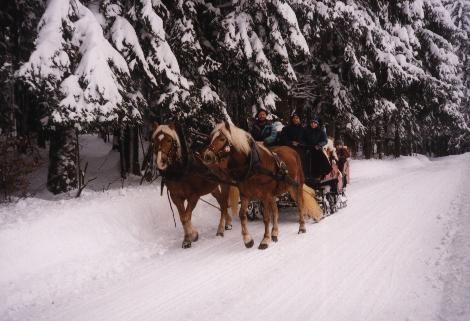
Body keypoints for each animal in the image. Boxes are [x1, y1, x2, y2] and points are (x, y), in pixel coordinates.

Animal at [202, 121, 320, 249]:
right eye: (212, 138)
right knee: (276, 211)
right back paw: (275, 233)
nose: (207, 156)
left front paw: (265, 240)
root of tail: (292, 150)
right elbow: (242, 215)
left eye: (222, 139)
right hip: (274, 194)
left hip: (295, 187)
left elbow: (266, 218)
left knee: (299, 205)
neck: (253, 166)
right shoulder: (245, 195)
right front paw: (248, 240)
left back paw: (302, 227)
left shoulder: (265, 195)